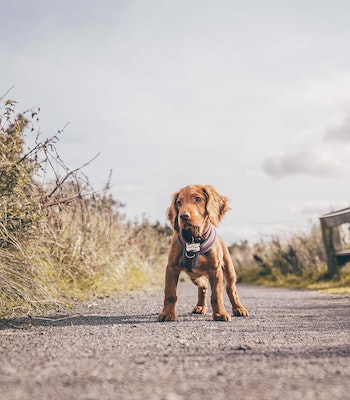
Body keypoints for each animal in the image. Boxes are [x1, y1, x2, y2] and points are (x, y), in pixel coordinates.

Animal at [157, 185, 247, 322]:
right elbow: (171, 293)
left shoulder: (215, 270)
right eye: (179, 202)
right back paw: (200, 306)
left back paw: (239, 308)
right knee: (203, 285)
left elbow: (217, 295)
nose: (183, 216)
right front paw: (167, 314)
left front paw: (220, 313)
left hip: (229, 270)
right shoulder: (172, 267)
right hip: (194, 275)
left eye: (198, 199)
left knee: (231, 289)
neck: (195, 239)